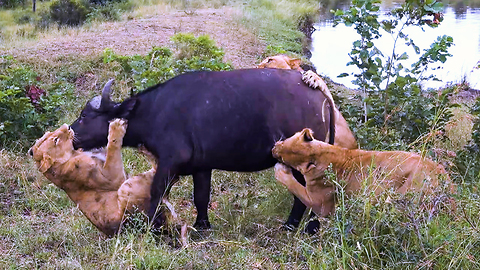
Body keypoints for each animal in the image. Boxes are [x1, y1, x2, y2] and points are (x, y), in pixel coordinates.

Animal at [70, 68, 334, 231]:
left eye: (84, 116)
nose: (71, 134)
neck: (153, 112)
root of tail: (320, 94)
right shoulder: (202, 167)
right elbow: (201, 197)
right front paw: (202, 225)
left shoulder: (170, 161)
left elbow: (156, 192)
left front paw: (151, 226)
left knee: (308, 194)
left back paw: (299, 227)